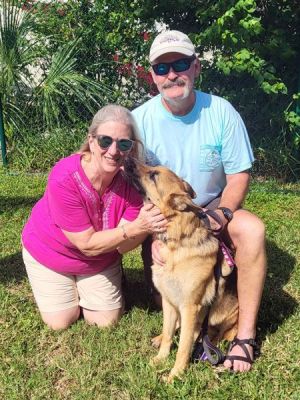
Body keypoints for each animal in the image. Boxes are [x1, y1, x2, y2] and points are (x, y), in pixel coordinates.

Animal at [137, 164, 239, 382]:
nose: (127, 160)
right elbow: (168, 333)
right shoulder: (169, 301)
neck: (176, 245)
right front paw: (160, 359)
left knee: (211, 334)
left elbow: (183, 347)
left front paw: (175, 375)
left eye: (154, 175)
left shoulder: (190, 307)